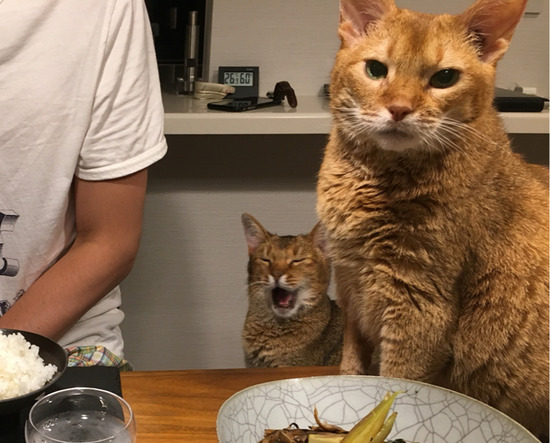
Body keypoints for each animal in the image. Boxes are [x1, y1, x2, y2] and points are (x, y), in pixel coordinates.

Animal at [316, 0, 549, 438]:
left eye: (444, 78)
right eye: (376, 69)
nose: (399, 109)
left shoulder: (419, 309)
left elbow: (395, 382)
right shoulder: (352, 286)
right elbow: (351, 365)